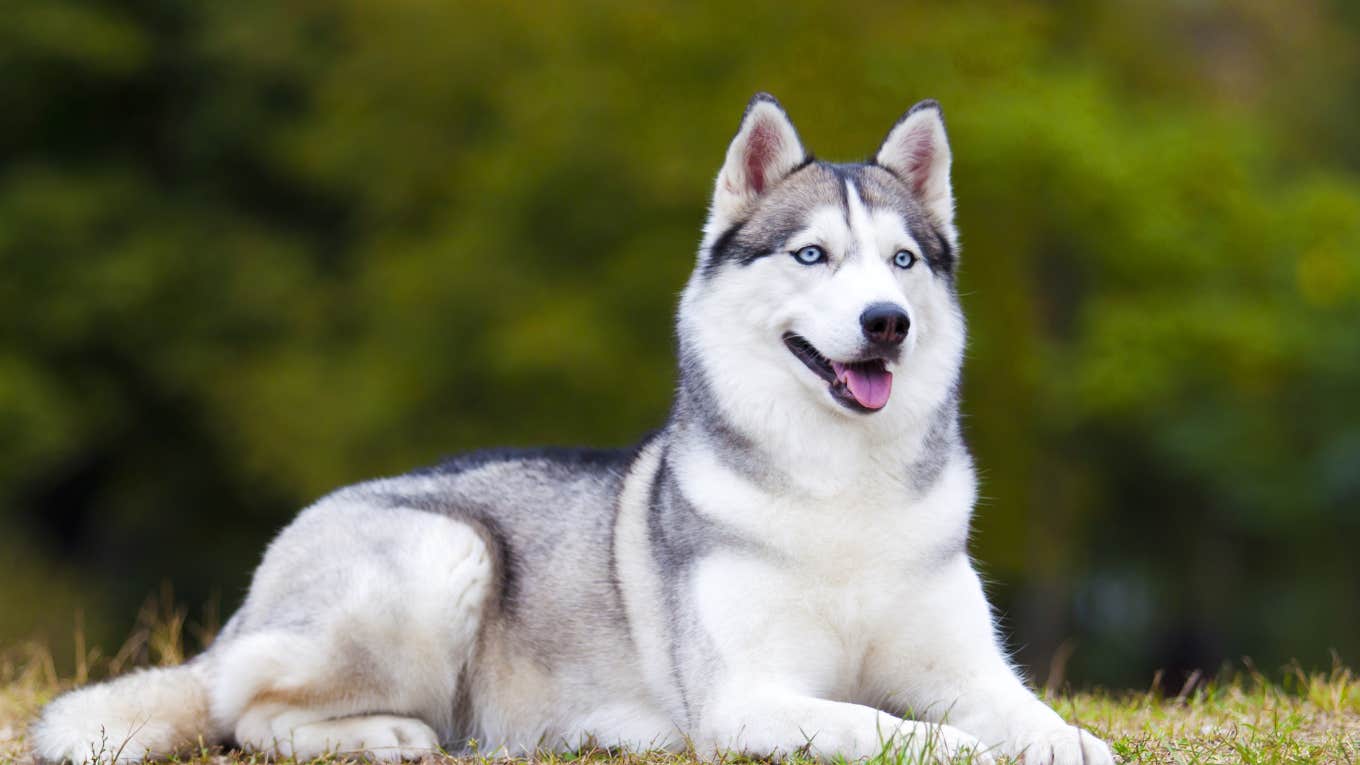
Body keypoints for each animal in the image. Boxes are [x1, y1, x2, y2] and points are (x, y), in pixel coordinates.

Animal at [34, 95, 1115, 762]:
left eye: (901, 262)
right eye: (812, 255)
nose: (886, 323)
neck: (840, 492)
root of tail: (256, 594)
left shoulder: (972, 668)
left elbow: (1039, 722)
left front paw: (1067, 741)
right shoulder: (750, 697)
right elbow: (895, 729)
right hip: (443, 553)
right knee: (246, 710)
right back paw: (383, 735)